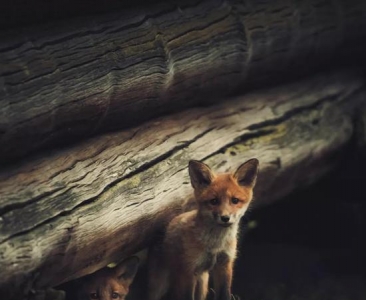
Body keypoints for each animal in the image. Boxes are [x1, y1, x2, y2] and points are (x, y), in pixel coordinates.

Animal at [147, 158, 258, 298]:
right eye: (214, 201)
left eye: (235, 200)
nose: (225, 218)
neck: (216, 244)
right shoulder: (188, 270)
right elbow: (187, 297)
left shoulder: (224, 265)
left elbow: (224, 294)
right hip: (159, 286)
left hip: (202, 283)